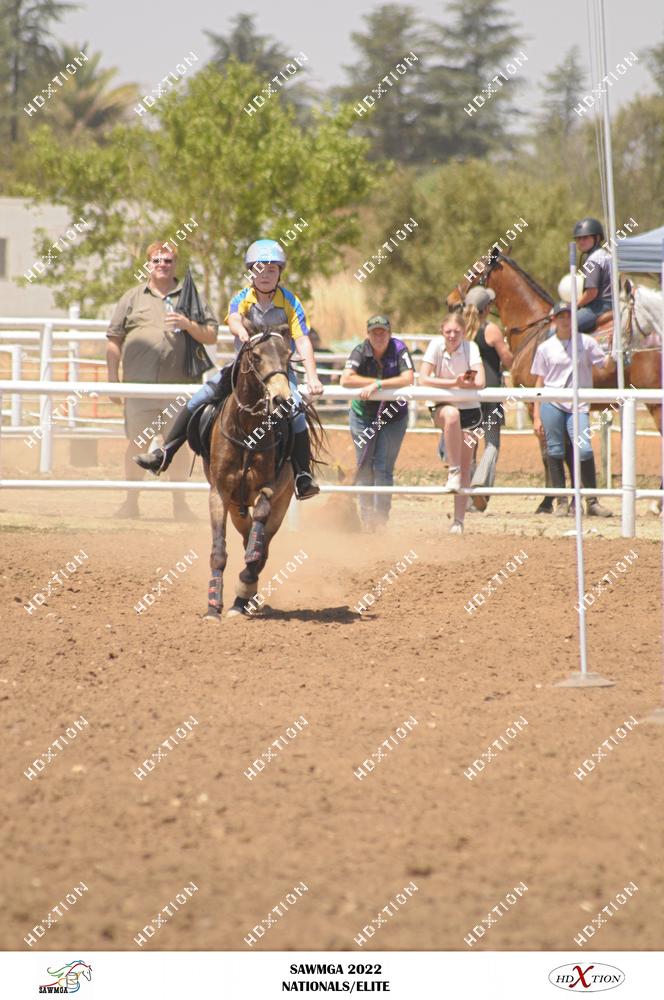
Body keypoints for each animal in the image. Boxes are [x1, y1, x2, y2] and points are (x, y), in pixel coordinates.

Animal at [203, 319, 324, 620]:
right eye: (256, 356)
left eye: (288, 356)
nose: (282, 399)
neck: (247, 431)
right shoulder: (219, 493)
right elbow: (219, 550)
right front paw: (213, 606)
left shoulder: (270, 488)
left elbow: (259, 526)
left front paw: (246, 577)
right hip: (235, 507)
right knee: (247, 533)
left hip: (281, 505)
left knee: (262, 545)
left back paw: (244, 593)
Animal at [446, 247, 663, 509]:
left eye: (476, 270)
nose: (450, 301)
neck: (533, 328)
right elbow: (568, 453)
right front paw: (573, 501)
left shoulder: (535, 404)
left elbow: (547, 451)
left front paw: (549, 501)